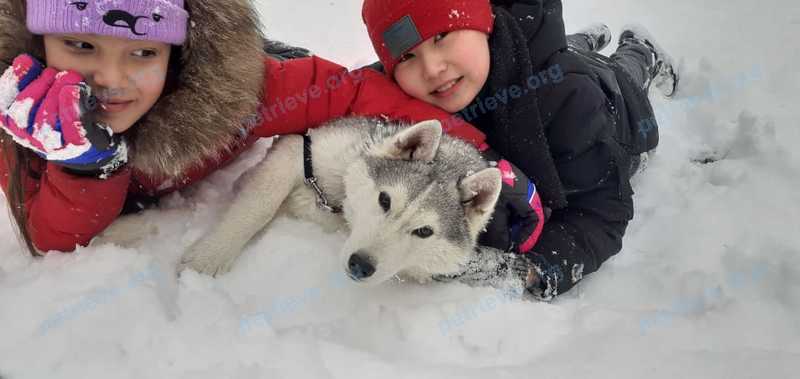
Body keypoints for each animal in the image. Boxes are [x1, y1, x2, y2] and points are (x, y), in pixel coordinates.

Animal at [179, 119, 504, 284]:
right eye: (384, 199)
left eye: (424, 231)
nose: (360, 265)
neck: (341, 200)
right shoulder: (301, 148)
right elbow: (261, 204)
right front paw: (209, 258)